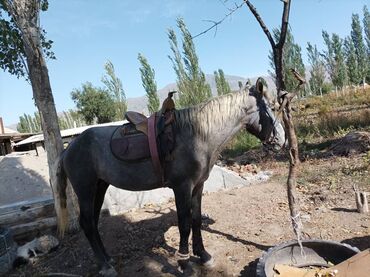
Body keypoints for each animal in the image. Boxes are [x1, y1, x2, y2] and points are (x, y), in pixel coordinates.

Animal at [52, 77, 286, 274]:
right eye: (273, 108)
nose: (281, 140)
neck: (198, 134)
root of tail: (68, 148)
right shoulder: (182, 187)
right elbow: (184, 223)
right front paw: (184, 263)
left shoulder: (198, 186)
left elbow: (196, 220)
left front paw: (203, 256)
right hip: (85, 189)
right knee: (87, 222)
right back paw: (104, 266)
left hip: (99, 187)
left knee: (92, 222)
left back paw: (107, 258)